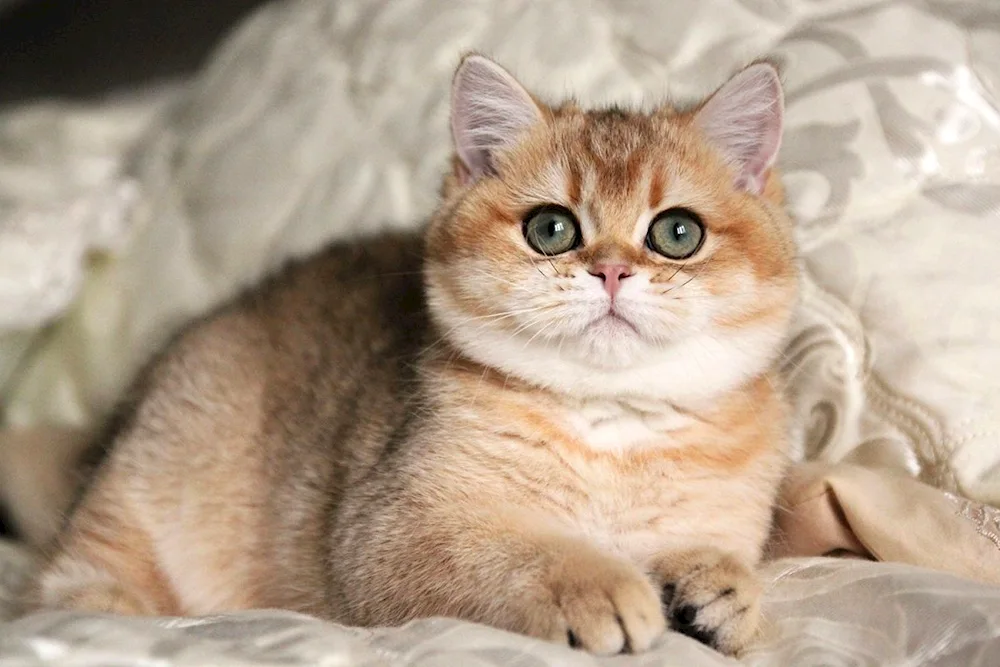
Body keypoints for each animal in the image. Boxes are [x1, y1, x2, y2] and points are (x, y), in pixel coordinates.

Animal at [27, 53, 800, 656]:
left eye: (677, 233)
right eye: (551, 228)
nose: (610, 271)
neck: (612, 429)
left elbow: (724, 562)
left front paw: (718, 587)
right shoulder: (389, 533)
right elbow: (513, 552)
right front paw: (596, 585)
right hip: (158, 467)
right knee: (66, 582)